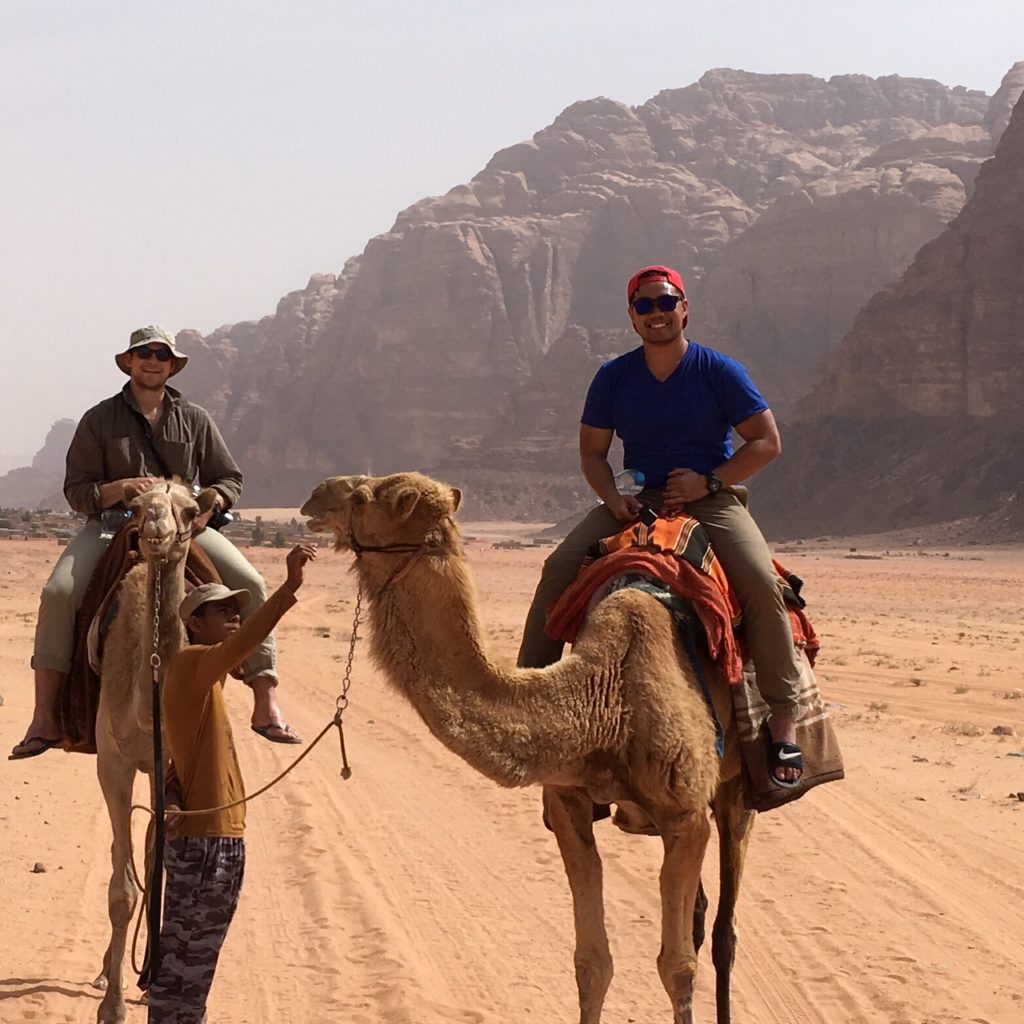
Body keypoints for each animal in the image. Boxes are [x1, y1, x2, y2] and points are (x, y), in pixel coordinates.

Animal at [299, 471, 757, 1024]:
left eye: (365, 497)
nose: (315, 496)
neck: (604, 699)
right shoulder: (568, 804)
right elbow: (592, 962)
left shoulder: (686, 815)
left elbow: (678, 967)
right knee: (701, 916)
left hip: (735, 789)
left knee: (724, 931)